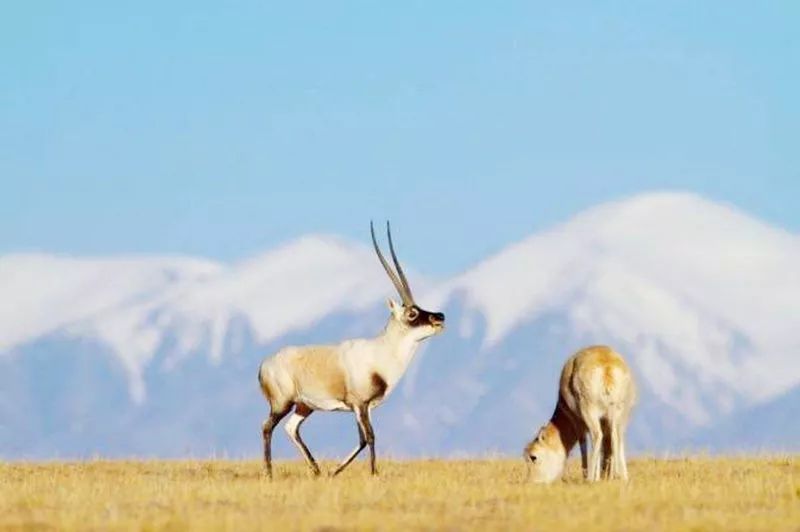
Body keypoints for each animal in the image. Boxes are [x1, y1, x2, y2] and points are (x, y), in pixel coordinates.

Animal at [256, 220, 444, 478]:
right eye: (412, 313)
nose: (440, 316)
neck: (382, 351)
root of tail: (265, 364)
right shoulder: (360, 404)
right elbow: (371, 437)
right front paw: (373, 473)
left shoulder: (365, 407)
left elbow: (363, 439)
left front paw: (335, 471)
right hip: (281, 403)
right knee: (267, 427)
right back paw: (269, 472)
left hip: (304, 406)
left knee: (291, 428)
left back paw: (316, 470)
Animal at [524, 344, 636, 482]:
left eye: (533, 456)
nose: (530, 482)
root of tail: (607, 364)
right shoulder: (604, 421)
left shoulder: (578, 423)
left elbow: (583, 442)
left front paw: (590, 477)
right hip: (619, 415)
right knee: (616, 436)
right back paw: (621, 477)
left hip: (590, 413)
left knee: (597, 436)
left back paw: (590, 478)